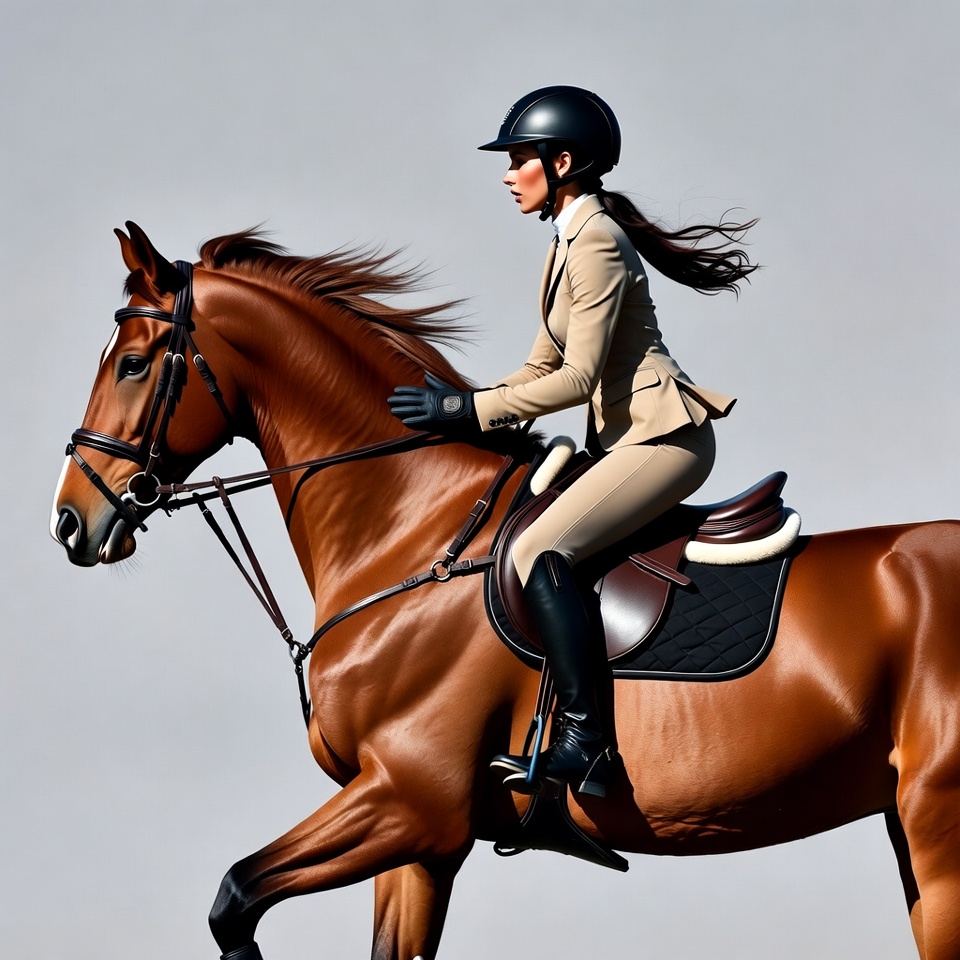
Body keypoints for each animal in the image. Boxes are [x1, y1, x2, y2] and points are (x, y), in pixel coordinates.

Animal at [51, 222, 960, 960]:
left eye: (132, 365)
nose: (70, 519)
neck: (411, 529)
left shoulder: (413, 798)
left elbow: (234, 897)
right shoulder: (421, 844)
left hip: (938, 829)